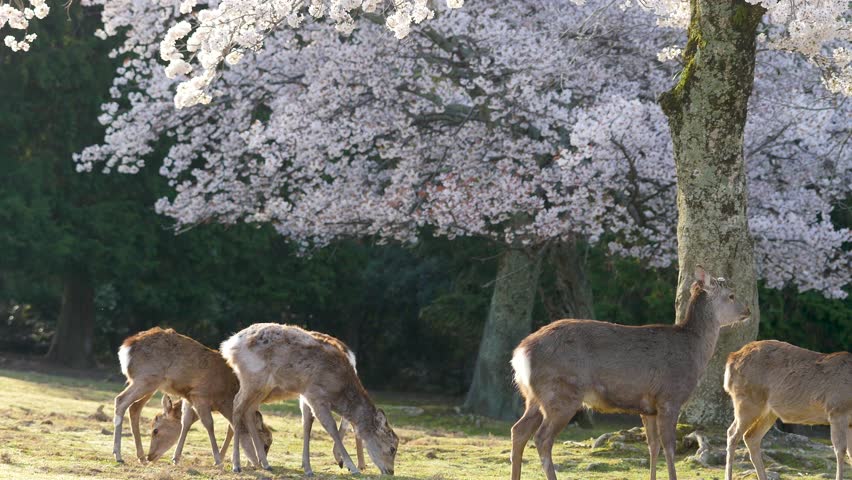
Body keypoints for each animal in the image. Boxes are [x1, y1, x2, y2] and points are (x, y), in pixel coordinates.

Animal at [112, 327, 272, 466]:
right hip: (145, 379)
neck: (224, 394)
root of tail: (125, 349)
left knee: (134, 407)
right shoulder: (200, 394)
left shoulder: (189, 397)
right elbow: (210, 424)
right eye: (265, 444)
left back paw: (141, 457)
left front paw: (176, 458)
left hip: (150, 384)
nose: (151, 456)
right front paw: (218, 460)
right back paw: (119, 455)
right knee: (120, 400)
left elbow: (186, 422)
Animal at [220, 323, 399, 475]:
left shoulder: (306, 395)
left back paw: (265, 464)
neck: (338, 387)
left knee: (249, 411)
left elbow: (307, 425)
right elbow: (331, 427)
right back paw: (236, 465)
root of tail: (229, 345)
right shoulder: (316, 394)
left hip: (262, 387)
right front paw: (352, 467)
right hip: (252, 378)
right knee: (237, 406)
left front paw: (307, 468)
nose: (390, 471)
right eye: (392, 448)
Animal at [509, 266, 751, 480]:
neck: (693, 352)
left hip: (533, 396)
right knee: (542, 438)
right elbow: (669, 447)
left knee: (518, 430)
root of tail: (520, 353)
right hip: (562, 393)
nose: (747, 311)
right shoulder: (670, 397)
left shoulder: (648, 407)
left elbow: (653, 446)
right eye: (731, 295)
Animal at [724, 340, 852, 480]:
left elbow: (850, 453)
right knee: (732, 433)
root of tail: (731, 358)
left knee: (751, 437)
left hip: (769, 412)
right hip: (747, 401)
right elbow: (841, 450)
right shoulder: (837, 410)